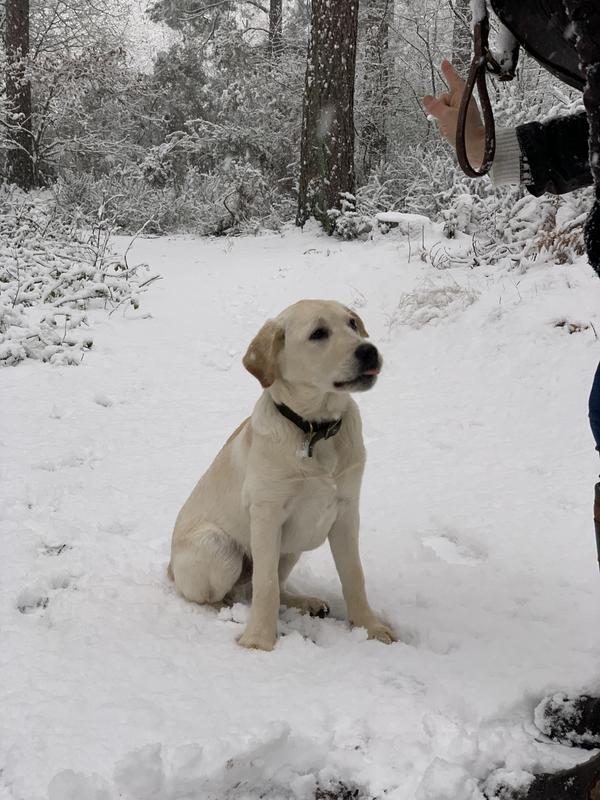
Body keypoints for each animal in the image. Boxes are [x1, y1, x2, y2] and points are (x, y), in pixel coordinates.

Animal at [166, 300, 396, 648]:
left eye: (352, 324)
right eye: (318, 333)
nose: (369, 351)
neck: (315, 430)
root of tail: (169, 567)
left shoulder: (346, 510)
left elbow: (354, 575)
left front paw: (370, 627)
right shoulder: (266, 514)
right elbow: (266, 585)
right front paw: (259, 641)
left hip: (293, 547)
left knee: (255, 588)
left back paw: (306, 602)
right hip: (218, 547)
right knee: (221, 595)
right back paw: (231, 613)